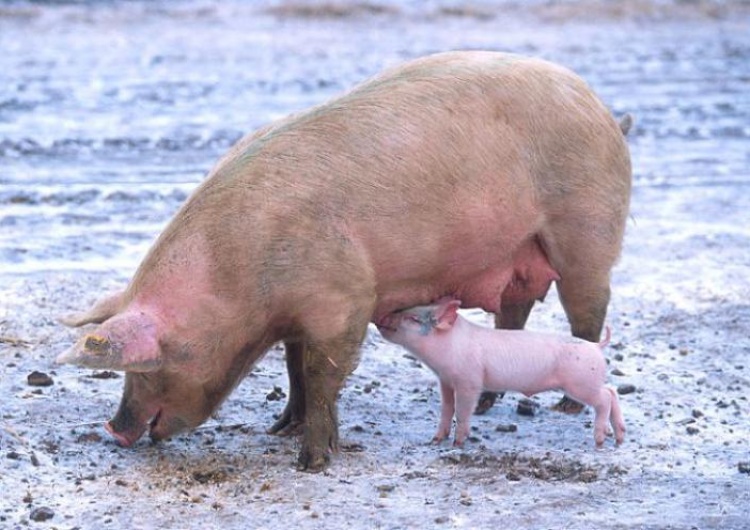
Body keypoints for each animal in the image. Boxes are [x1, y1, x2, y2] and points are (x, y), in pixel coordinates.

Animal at [378, 300, 624, 444]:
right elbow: (446, 409)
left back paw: (600, 440)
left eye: (413, 318)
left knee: (604, 398)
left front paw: (458, 443)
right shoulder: (445, 381)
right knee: (612, 391)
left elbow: (462, 410)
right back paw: (618, 436)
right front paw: (436, 439)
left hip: (581, 383)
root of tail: (596, 346)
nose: (381, 317)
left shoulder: (469, 381)